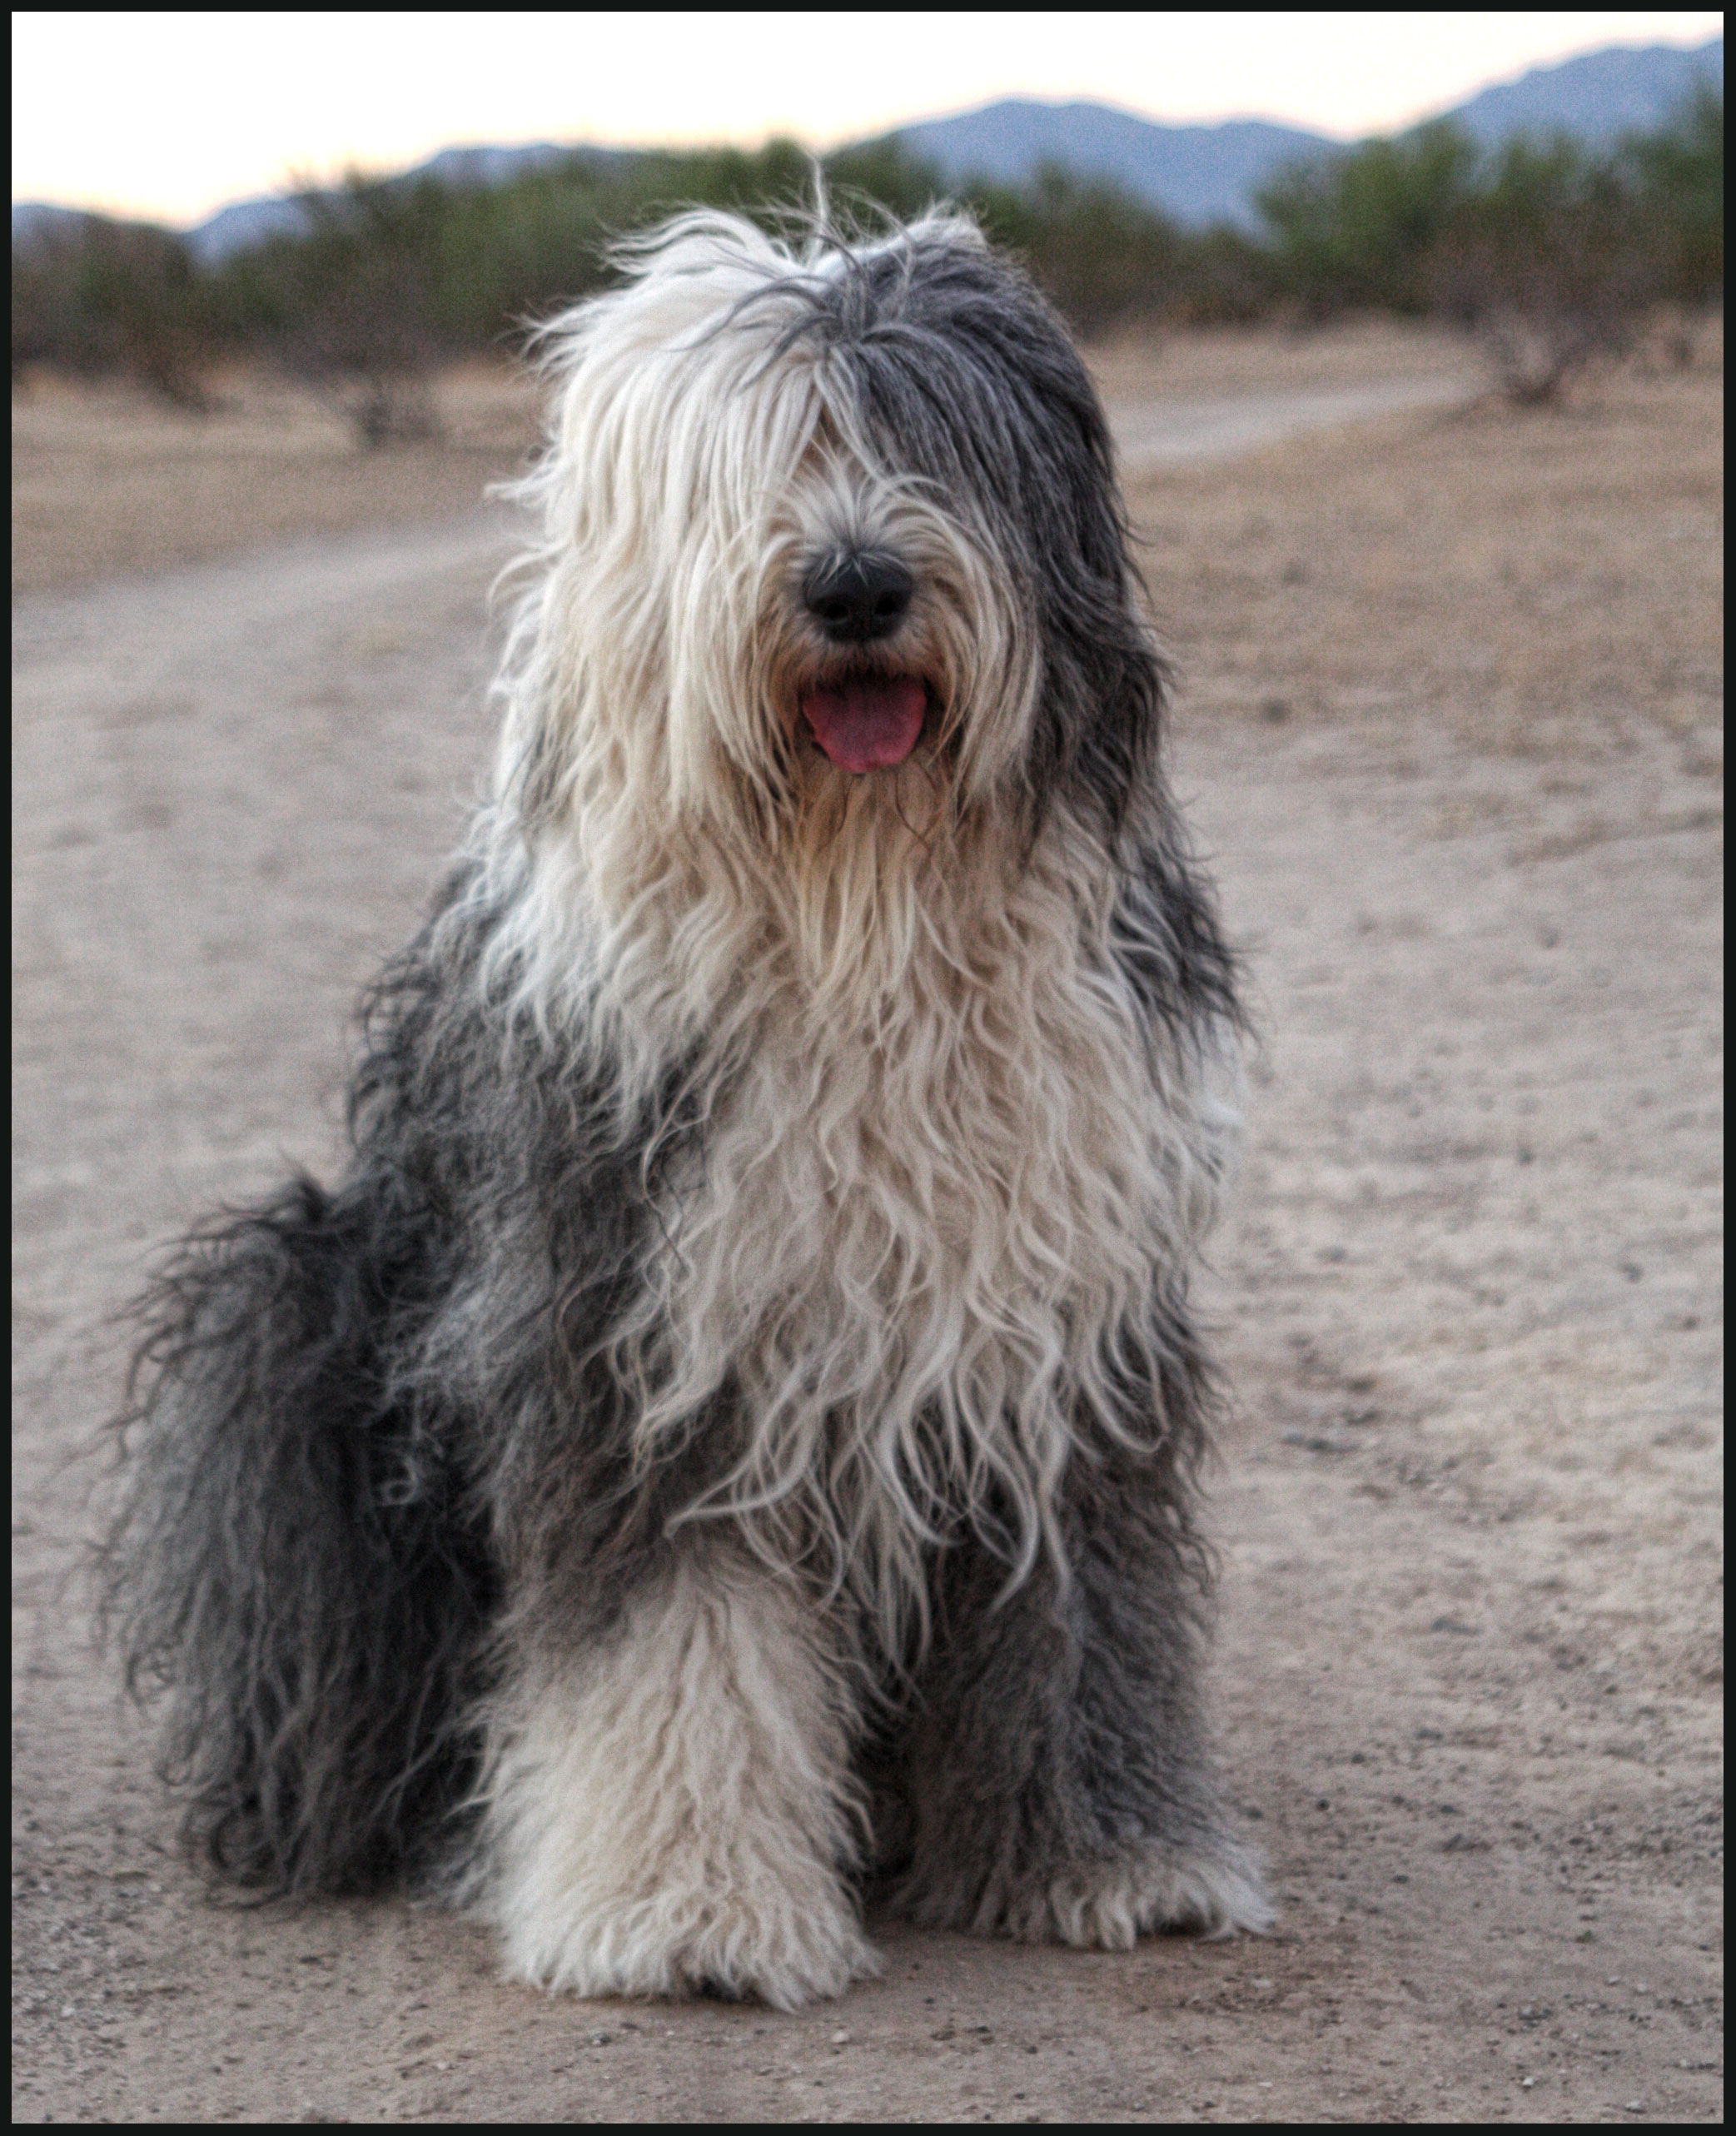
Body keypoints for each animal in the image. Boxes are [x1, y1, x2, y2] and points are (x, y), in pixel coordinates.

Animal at [111, 208, 1272, 2008]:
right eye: (760, 460)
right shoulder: (641, 1324)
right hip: (292, 1308)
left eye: (923, 434)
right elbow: (675, 1631)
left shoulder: (1059, 1324)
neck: (860, 910)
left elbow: (1082, 1599)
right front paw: (688, 1914)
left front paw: (1104, 1858)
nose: (856, 585)